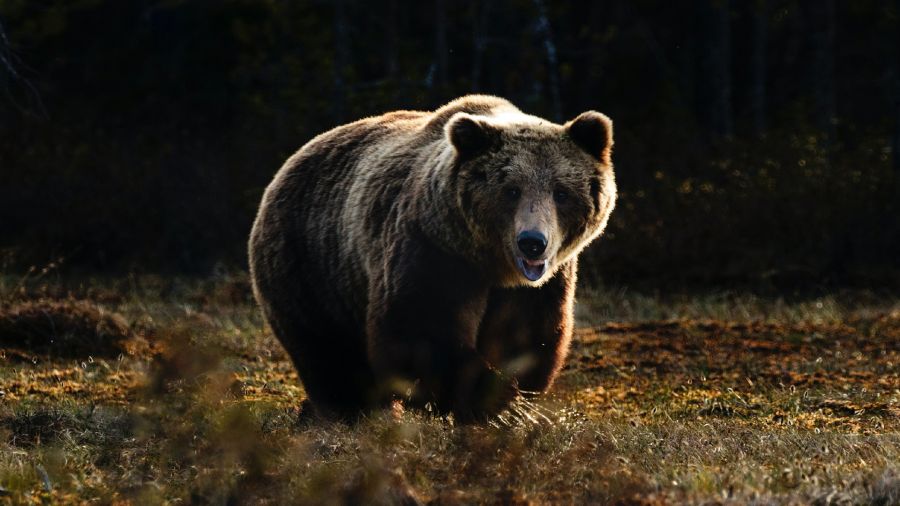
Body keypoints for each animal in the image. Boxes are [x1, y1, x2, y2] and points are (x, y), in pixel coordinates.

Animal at [250, 95, 616, 422]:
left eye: (561, 192)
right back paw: (351, 411)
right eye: (511, 190)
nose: (532, 243)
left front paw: (511, 399)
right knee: (329, 352)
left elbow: (526, 335)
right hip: (311, 265)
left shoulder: (539, 285)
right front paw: (496, 403)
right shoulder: (433, 250)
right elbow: (421, 329)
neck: (491, 264)